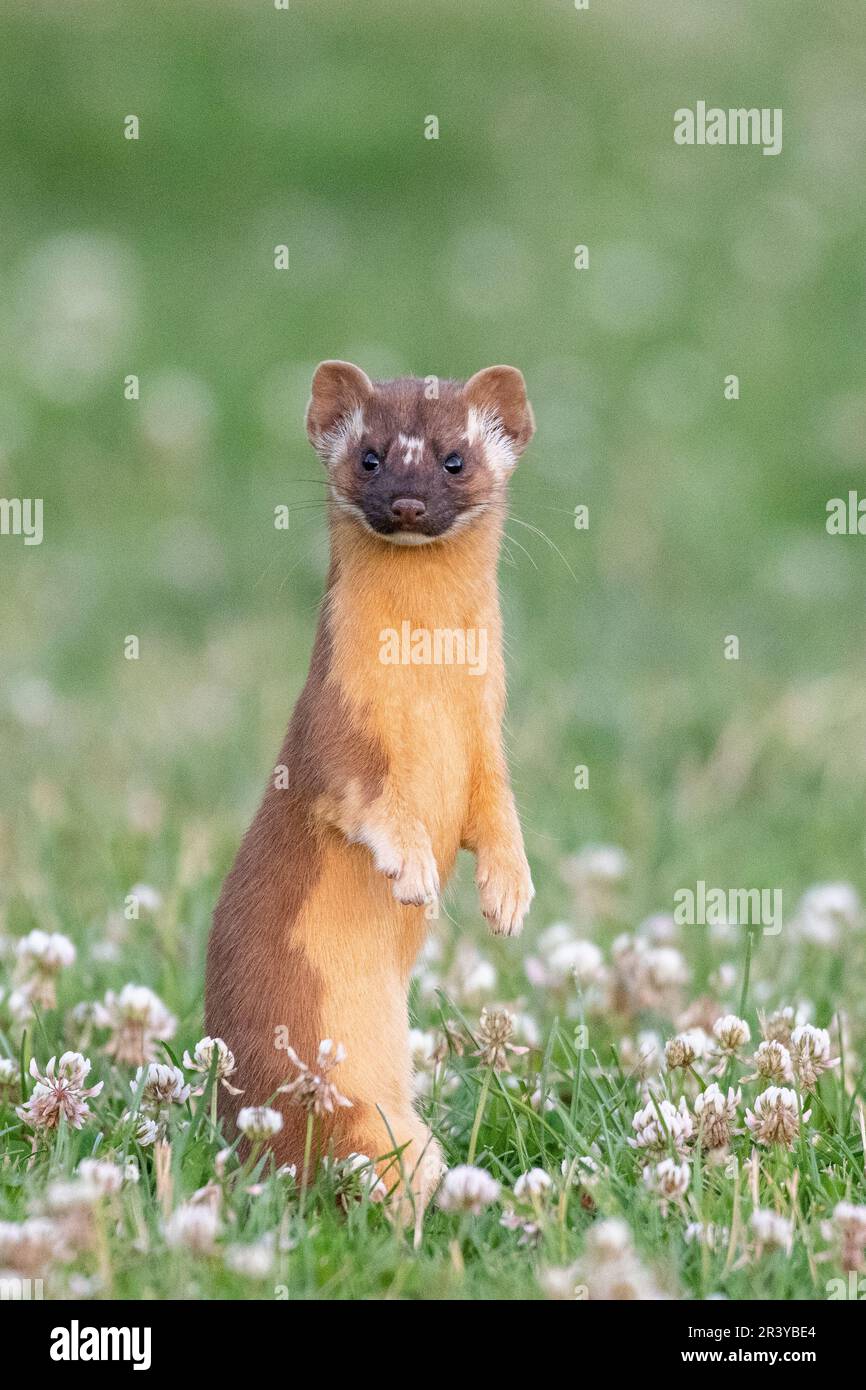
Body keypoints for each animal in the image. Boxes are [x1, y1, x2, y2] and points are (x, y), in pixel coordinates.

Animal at [207, 358, 539, 1217]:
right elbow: (367, 798)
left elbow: (497, 811)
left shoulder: (489, 737)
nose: (409, 501)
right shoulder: (333, 730)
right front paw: (413, 866)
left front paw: (508, 893)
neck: (431, 698)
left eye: (454, 457)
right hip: (353, 1119)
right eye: (370, 455)